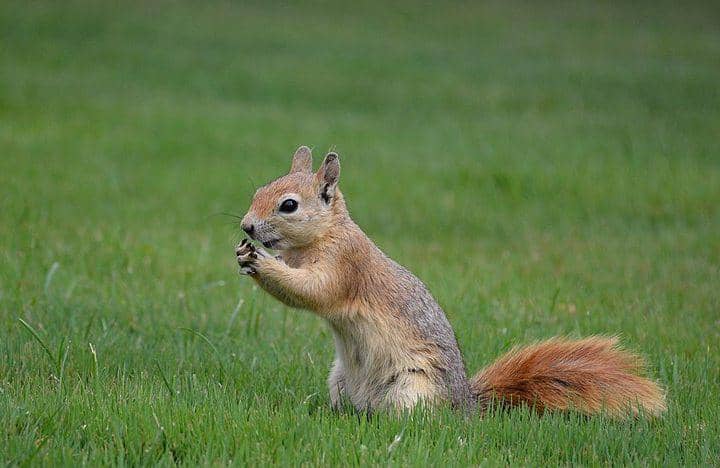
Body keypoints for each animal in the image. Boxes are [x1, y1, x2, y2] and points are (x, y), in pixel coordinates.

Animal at [234, 146, 666, 417]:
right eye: (258, 190)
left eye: (289, 205)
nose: (246, 226)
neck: (321, 237)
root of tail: (465, 405)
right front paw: (245, 255)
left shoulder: (345, 265)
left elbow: (314, 292)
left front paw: (260, 261)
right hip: (340, 380)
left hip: (413, 389)